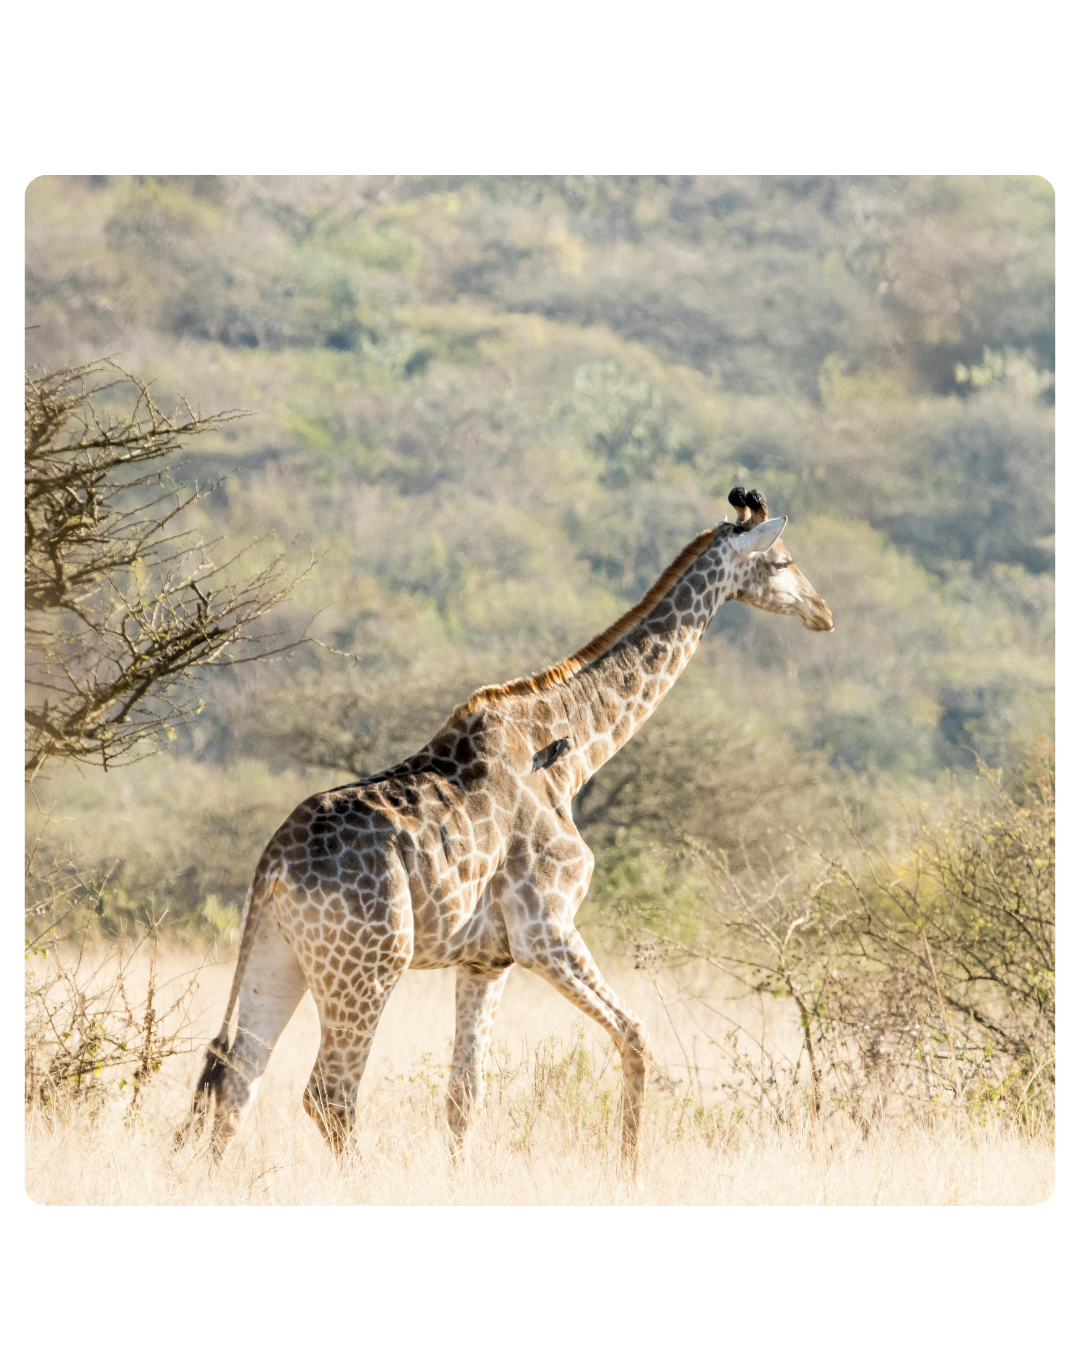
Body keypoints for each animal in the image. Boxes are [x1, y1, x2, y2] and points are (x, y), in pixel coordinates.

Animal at [182, 486, 834, 1167]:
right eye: (783, 561)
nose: (823, 613)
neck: (573, 759)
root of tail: (273, 863)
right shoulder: (544, 929)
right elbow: (636, 1036)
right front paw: (629, 1169)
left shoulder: (486, 959)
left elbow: (465, 1096)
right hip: (370, 964)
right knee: (329, 1093)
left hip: (280, 954)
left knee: (237, 1077)